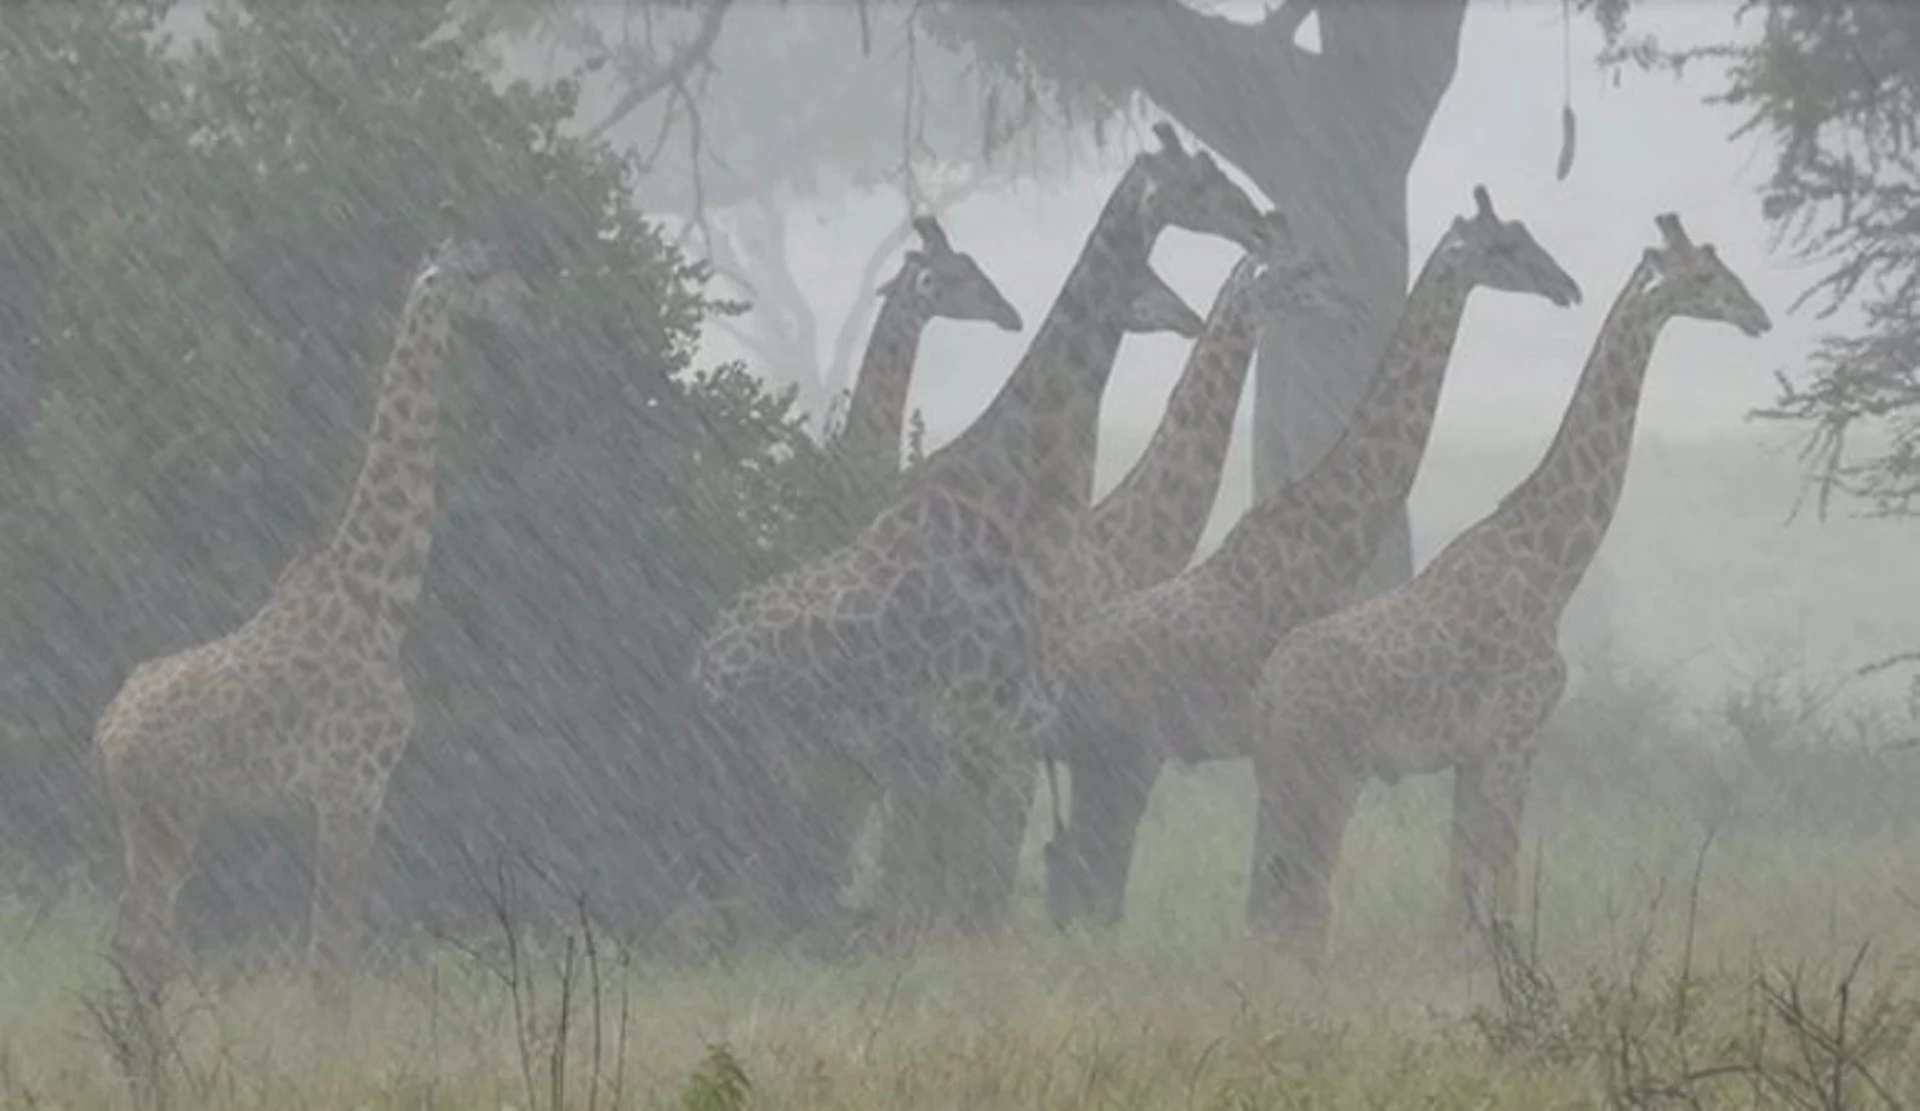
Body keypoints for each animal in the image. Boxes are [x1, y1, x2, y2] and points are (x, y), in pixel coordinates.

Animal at [90, 236, 526, 997]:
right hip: (174, 812)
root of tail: (108, 730)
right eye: (480, 273)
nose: (525, 301)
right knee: (145, 943)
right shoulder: (353, 785)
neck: (381, 599)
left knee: (133, 941)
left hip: (142, 820)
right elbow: (332, 958)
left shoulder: (342, 795)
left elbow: (330, 953)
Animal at [691, 121, 1274, 944]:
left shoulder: (993, 719)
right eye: (1200, 182)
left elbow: (965, 879)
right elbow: (972, 877)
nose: (1263, 223)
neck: (1026, 480)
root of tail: (698, 673)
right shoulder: (996, 710)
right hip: (782, 765)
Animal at [1044, 189, 1582, 928]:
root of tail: (1065, 665)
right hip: (1122, 755)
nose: (1567, 286)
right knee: (1087, 867)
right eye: (1506, 248)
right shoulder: (1272, 736)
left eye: (1526, 237)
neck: (1328, 538)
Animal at [1244, 212, 1766, 959]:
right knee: (1303, 904)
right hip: (1325, 772)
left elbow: (1461, 883)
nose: (1759, 314)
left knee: (1277, 900)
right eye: (1704, 275)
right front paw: (1513, 965)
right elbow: (1503, 870)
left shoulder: (1474, 754)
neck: (1552, 565)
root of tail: (1266, 693)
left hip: (1284, 777)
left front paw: (1463, 962)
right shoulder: (1515, 736)